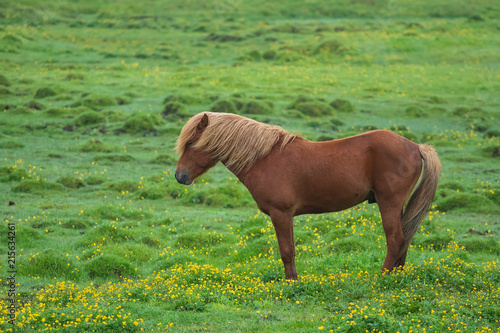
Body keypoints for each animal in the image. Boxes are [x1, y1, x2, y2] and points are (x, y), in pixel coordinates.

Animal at [176, 112, 442, 280]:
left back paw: (382, 278)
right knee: (404, 239)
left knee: (395, 240)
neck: (264, 159)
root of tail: (416, 147)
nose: (180, 176)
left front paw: (292, 282)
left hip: (389, 203)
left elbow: (287, 251)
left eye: (190, 143)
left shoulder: (281, 214)